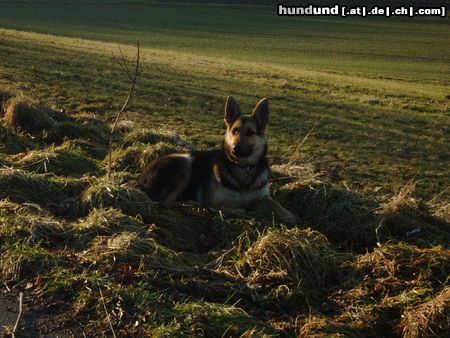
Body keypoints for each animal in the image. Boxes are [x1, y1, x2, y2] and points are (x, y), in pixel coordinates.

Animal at [137, 96, 298, 226]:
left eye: (250, 132)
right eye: (235, 131)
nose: (235, 149)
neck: (244, 167)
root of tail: (141, 177)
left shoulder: (264, 196)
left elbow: (274, 202)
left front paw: (289, 215)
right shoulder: (214, 203)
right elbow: (229, 208)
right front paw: (243, 210)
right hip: (184, 161)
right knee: (166, 202)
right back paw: (190, 204)